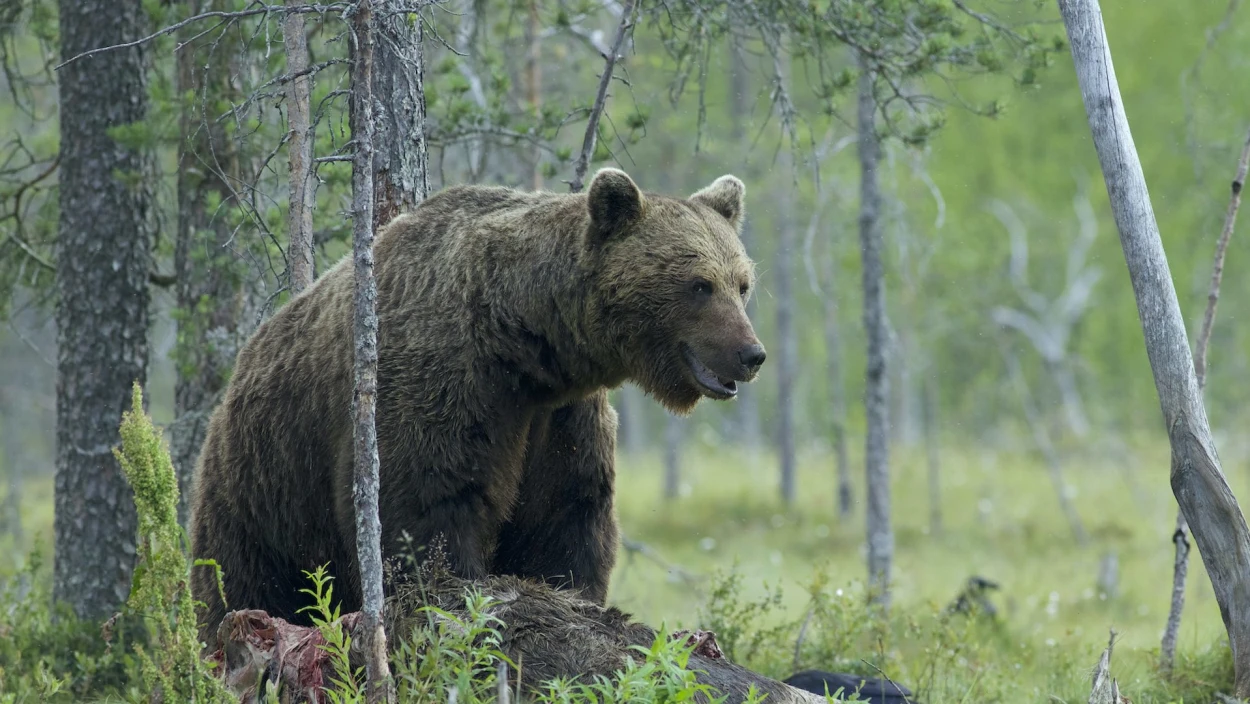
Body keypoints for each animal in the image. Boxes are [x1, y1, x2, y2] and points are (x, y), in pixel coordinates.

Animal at [190, 167, 765, 645]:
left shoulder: (559, 420)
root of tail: (239, 370)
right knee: (244, 581)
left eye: (741, 284)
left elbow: (563, 518)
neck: (522, 342)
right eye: (698, 285)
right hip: (268, 485)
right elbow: (428, 511)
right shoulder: (443, 383)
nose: (751, 354)